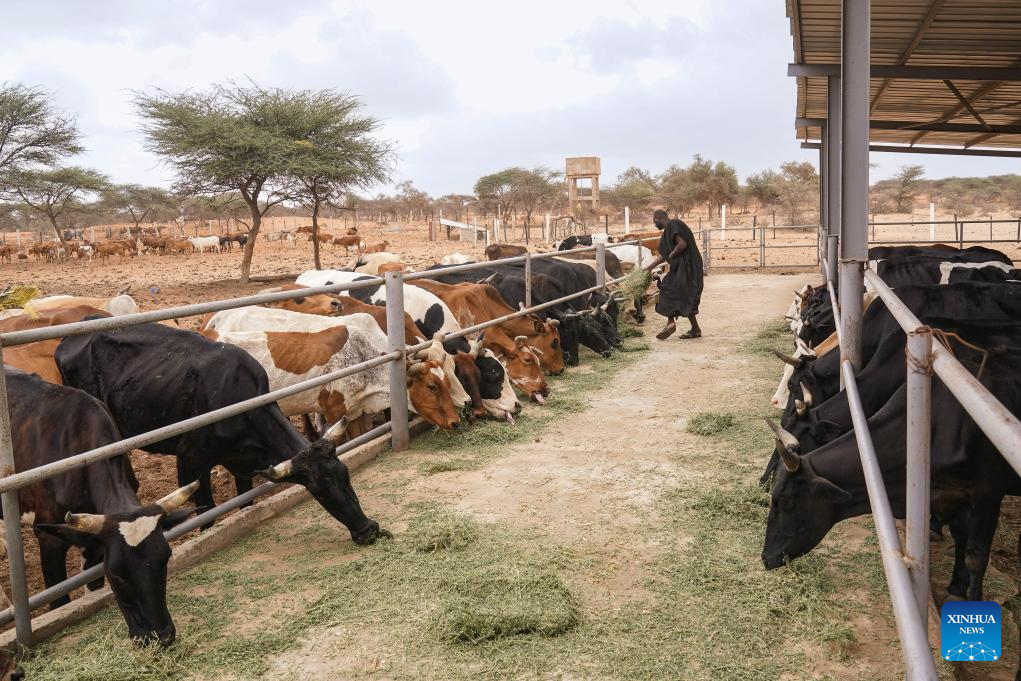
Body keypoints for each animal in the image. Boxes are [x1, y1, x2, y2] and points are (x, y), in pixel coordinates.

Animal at [5, 367, 201, 645]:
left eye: (165, 558)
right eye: (117, 573)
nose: (162, 636)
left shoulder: (95, 542)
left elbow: (92, 585)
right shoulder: (49, 537)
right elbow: (59, 599)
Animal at [54, 322, 384, 545]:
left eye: (346, 474)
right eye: (318, 490)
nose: (368, 530)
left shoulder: (242, 465)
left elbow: (244, 503)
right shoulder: (190, 463)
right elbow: (207, 515)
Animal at [200, 307, 462, 433]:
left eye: (452, 375)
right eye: (432, 386)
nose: (456, 421)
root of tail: (214, 323)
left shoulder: (356, 412)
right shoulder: (335, 413)